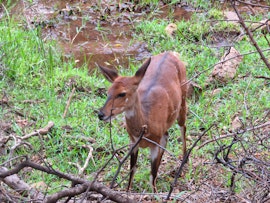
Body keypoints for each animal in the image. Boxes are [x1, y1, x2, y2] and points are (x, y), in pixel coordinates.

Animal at [97, 51, 188, 193]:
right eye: (108, 92)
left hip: (183, 98)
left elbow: (152, 174)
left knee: (183, 128)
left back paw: (183, 162)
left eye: (122, 93)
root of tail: (171, 53)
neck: (147, 120)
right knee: (167, 135)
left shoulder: (154, 143)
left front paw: (155, 194)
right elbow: (132, 170)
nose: (101, 114)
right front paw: (127, 192)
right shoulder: (133, 141)